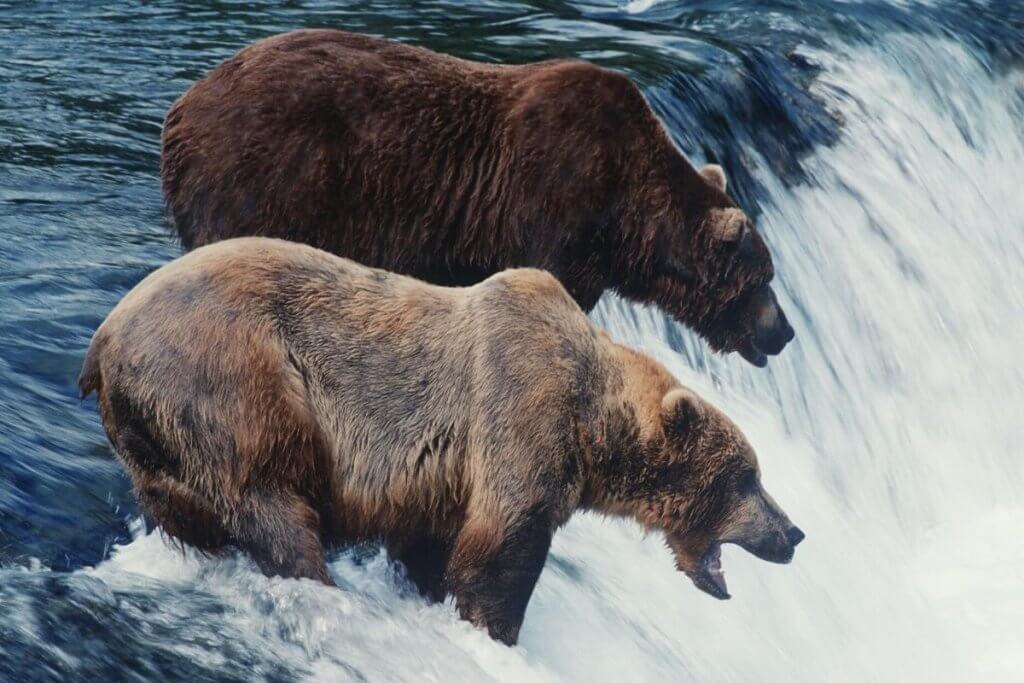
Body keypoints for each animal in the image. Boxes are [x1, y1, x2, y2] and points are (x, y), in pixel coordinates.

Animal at [79, 237, 804, 645]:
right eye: (747, 476)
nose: (793, 532)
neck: (591, 421)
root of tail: (102, 341)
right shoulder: (518, 415)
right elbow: (500, 550)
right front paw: (495, 630)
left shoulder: (438, 479)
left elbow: (431, 547)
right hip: (230, 381)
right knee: (272, 502)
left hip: (154, 442)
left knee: (188, 514)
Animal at [161, 29, 794, 367]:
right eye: (763, 280)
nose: (785, 331)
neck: (627, 220)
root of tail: (181, 107)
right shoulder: (555, 203)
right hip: (266, 176)